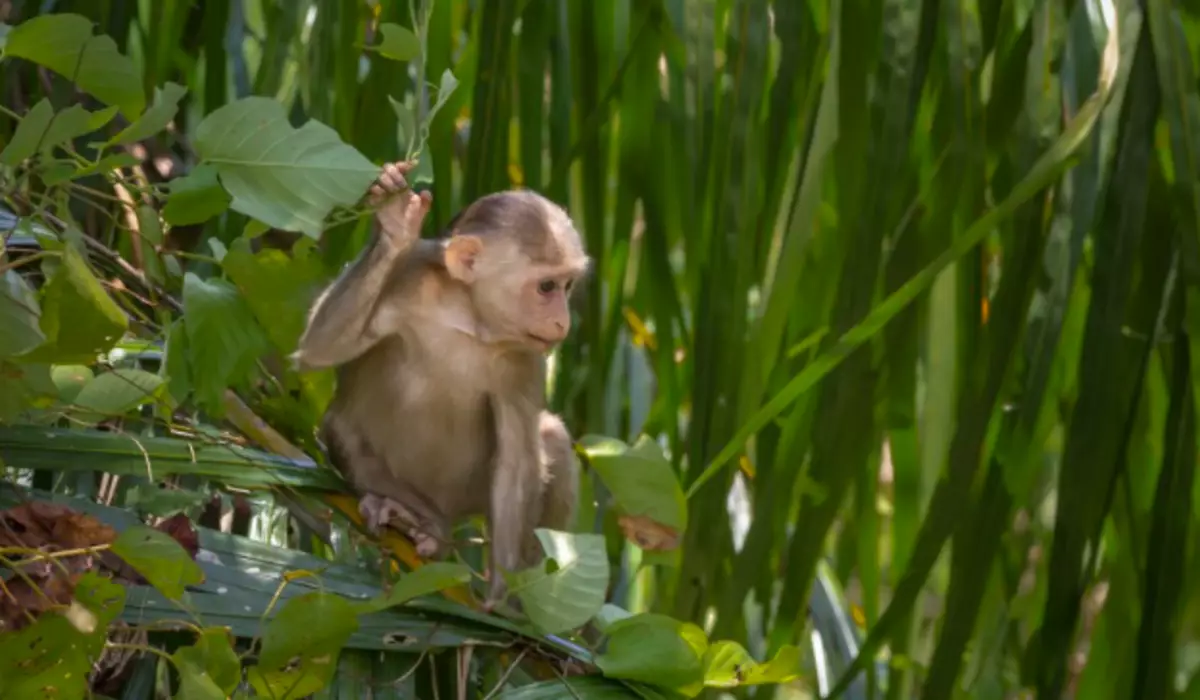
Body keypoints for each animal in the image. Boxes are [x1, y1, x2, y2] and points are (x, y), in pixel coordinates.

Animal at [292, 159, 588, 607]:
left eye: (567, 286)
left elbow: (517, 461)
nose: (562, 322)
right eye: (547, 287)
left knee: (550, 437)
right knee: (339, 426)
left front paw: (499, 600)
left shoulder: (525, 357)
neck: (469, 318)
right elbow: (321, 348)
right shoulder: (410, 277)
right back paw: (412, 517)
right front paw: (395, 224)